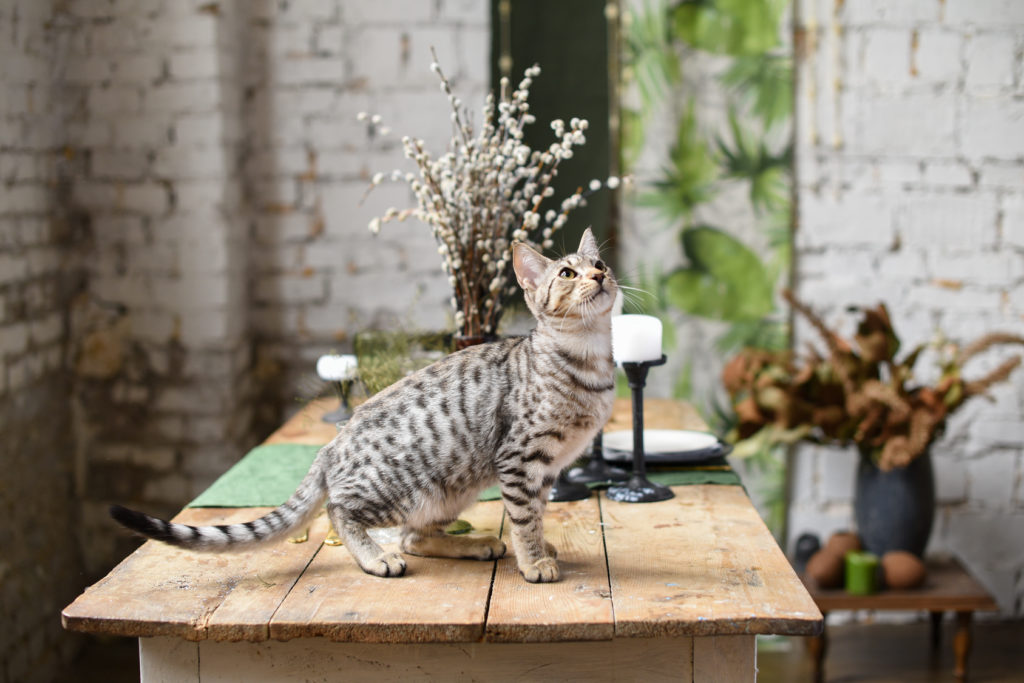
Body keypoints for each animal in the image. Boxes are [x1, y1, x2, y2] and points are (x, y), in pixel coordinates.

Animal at [110, 229, 614, 581]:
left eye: (600, 262)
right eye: (567, 274)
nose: (600, 275)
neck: (589, 360)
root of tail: (332, 445)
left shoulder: (545, 469)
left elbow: (537, 513)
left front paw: (542, 548)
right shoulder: (521, 459)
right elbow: (525, 518)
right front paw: (534, 562)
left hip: (454, 488)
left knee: (413, 536)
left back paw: (473, 545)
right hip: (407, 486)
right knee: (342, 512)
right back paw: (375, 557)